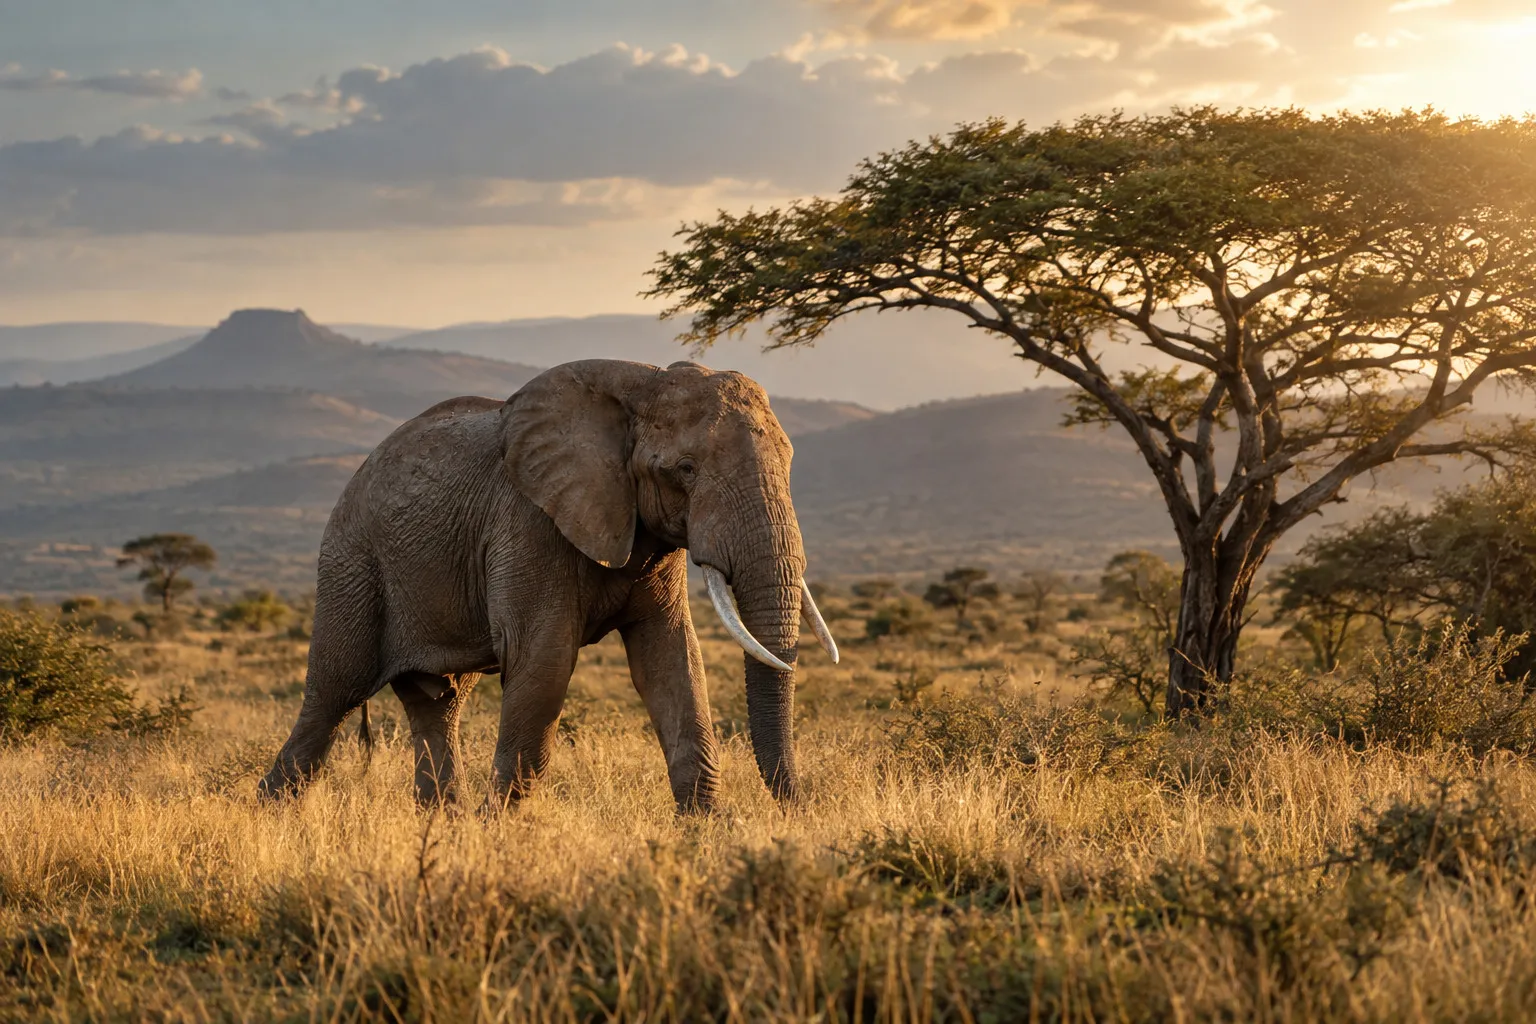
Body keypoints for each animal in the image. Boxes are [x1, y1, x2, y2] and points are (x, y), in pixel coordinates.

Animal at [257, 358, 839, 812]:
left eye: (790, 463)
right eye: (686, 469)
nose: (800, 810)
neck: (643, 384)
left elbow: (673, 660)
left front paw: (705, 832)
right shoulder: (528, 523)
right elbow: (545, 661)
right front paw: (496, 834)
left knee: (437, 701)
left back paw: (444, 824)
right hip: (352, 561)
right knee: (333, 696)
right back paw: (272, 815)